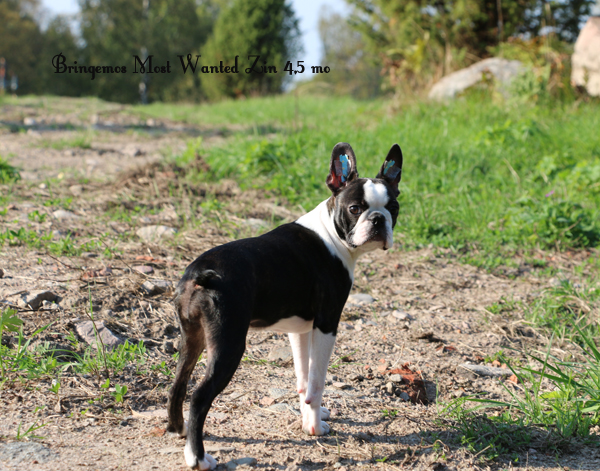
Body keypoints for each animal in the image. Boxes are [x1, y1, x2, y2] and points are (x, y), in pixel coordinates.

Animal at [166, 142, 403, 470]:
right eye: (356, 209)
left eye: (393, 208)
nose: (379, 219)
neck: (331, 233)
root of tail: (199, 273)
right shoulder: (326, 325)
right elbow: (316, 382)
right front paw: (314, 428)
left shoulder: (300, 330)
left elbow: (303, 379)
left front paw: (309, 417)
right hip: (229, 345)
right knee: (200, 396)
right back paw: (198, 457)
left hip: (192, 338)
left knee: (178, 383)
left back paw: (180, 430)